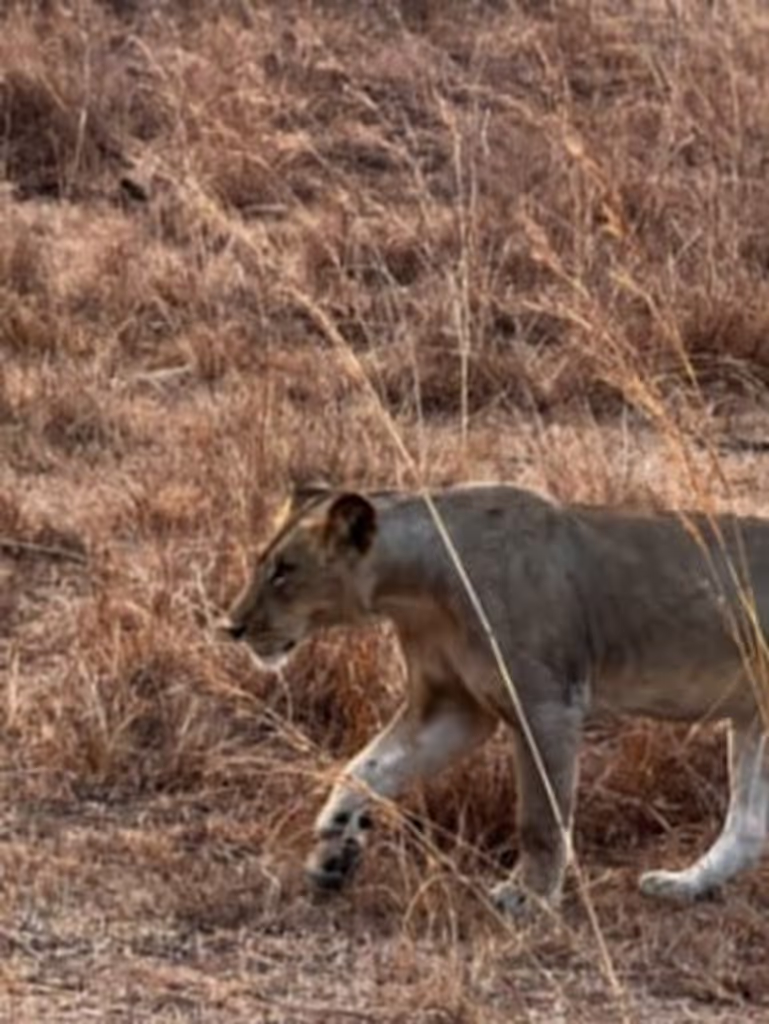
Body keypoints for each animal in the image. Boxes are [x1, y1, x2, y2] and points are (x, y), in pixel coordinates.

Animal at [222, 483, 769, 914]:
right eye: (263, 564)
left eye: (284, 570)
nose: (231, 627)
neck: (416, 592)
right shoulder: (453, 708)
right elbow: (367, 768)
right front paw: (333, 846)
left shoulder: (546, 705)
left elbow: (540, 818)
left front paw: (530, 897)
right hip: (755, 718)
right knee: (748, 826)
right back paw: (683, 885)